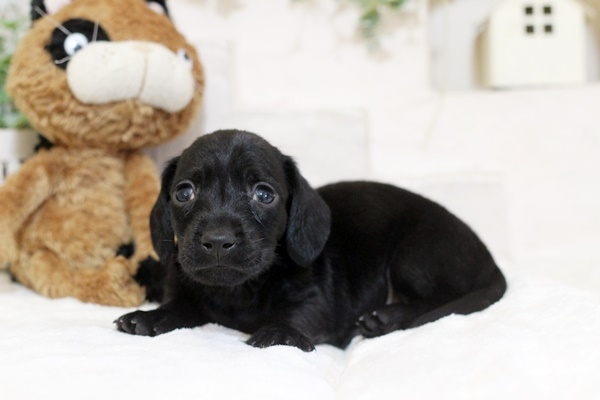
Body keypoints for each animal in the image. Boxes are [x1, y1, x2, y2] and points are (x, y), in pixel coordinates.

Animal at [115, 130, 506, 351]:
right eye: (184, 193)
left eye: (264, 194)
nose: (217, 240)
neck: (238, 291)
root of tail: (491, 263)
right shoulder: (187, 295)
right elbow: (179, 308)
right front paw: (150, 318)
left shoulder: (315, 302)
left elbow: (297, 317)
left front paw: (279, 333)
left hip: (413, 256)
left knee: (442, 302)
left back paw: (386, 318)